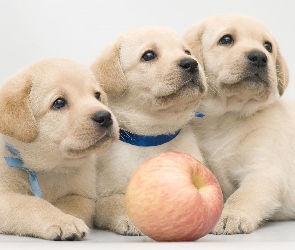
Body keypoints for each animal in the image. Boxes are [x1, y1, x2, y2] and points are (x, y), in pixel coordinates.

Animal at [0, 58, 119, 240]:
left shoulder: (81, 196)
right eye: (59, 103)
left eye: (97, 95)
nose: (105, 117)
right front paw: (62, 220)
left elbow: (71, 205)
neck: (49, 169)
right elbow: (31, 204)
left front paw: (66, 217)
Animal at [91, 26, 207, 235]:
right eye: (149, 55)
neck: (152, 137)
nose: (191, 63)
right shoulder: (99, 199)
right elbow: (115, 201)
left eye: (187, 52)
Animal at [184, 14, 294, 234]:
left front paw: (230, 216)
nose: (259, 57)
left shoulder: (265, 170)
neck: (225, 117)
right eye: (226, 39)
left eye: (268, 46)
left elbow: (243, 195)